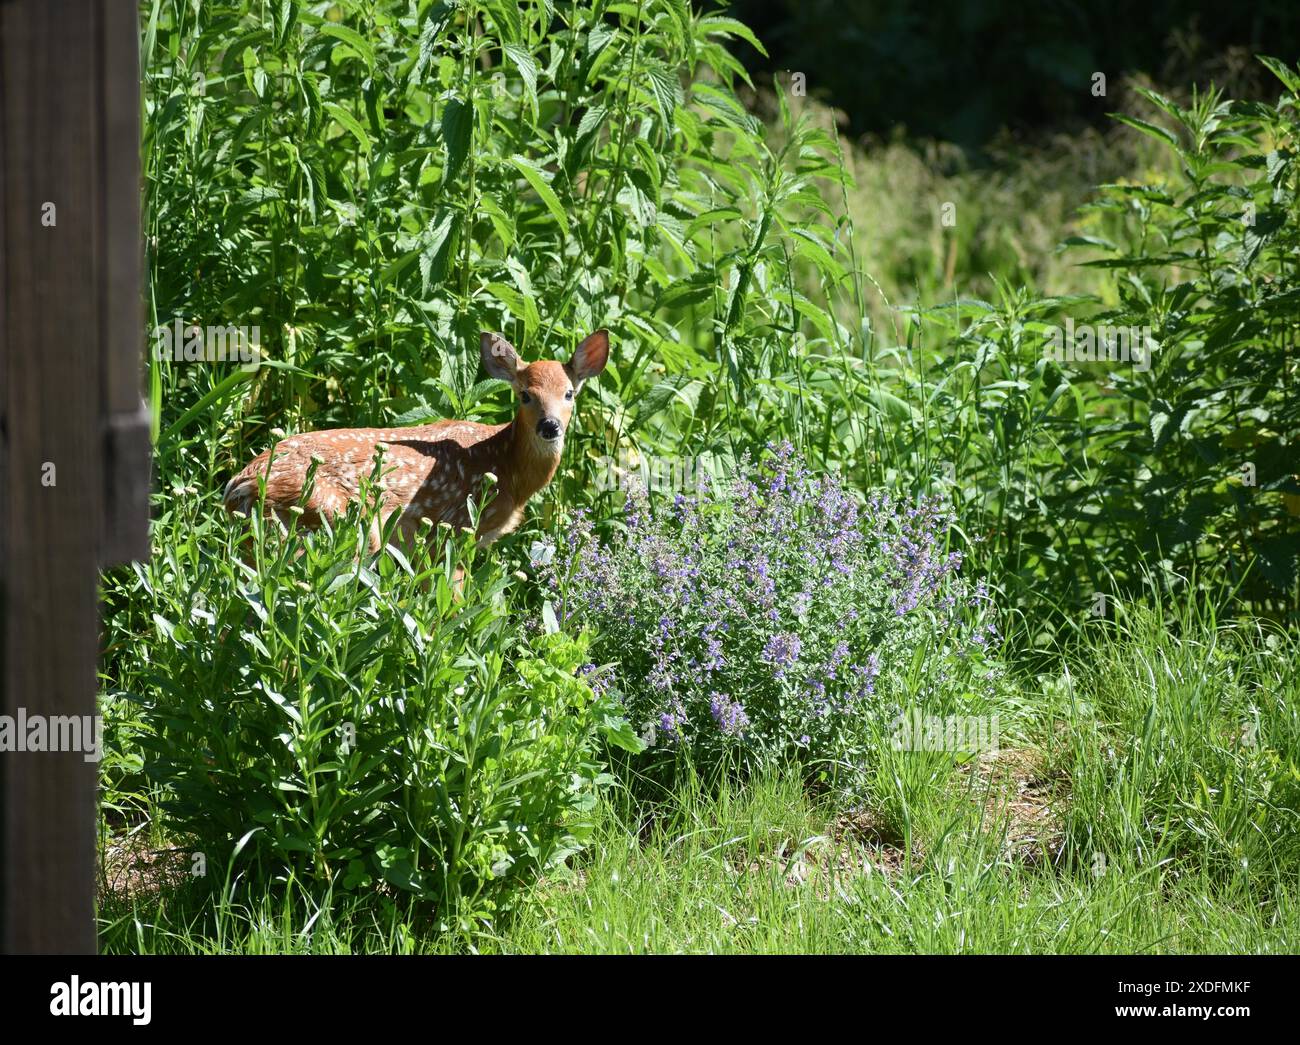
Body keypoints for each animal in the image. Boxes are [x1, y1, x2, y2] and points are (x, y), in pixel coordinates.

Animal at [222, 329, 609, 555]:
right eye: (525, 394)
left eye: (569, 393)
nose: (550, 425)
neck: (506, 468)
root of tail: (238, 486)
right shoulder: (453, 528)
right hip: (327, 519)